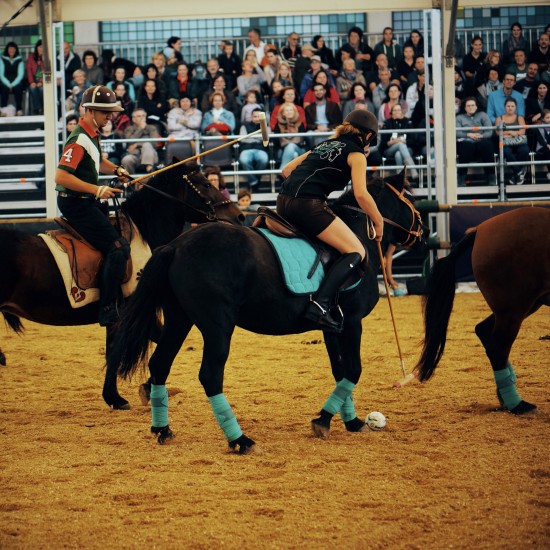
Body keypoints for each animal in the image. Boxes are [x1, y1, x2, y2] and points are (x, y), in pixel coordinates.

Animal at [0, 162, 243, 412]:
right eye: (206, 184)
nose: (239, 215)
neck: (142, 235)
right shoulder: (127, 313)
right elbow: (118, 353)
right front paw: (116, 397)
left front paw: (137, 389)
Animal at [110, 171, 430, 452]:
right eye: (411, 197)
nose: (423, 233)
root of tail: (176, 245)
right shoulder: (352, 323)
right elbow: (353, 369)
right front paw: (326, 419)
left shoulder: (332, 327)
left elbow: (340, 370)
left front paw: (349, 421)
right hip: (217, 326)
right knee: (210, 376)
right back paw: (240, 440)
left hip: (179, 320)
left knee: (159, 365)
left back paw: (162, 429)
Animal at [416, 207, 548, 414]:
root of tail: (479, 230)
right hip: (513, 308)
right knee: (497, 347)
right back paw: (516, 403)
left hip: (521, 306)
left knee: (483, 331)